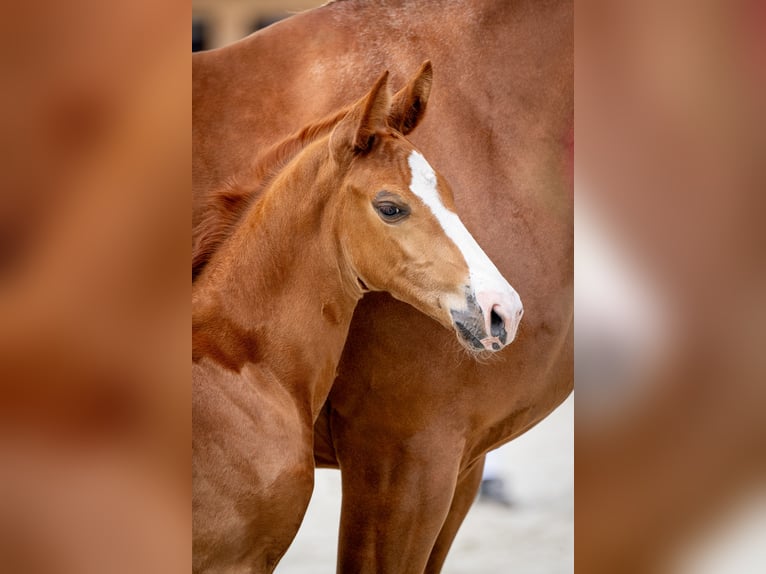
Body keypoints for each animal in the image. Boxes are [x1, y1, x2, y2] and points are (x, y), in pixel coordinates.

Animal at [195, 2, 572, 572]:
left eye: (451, 191)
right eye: (390, 207)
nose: (502, 309)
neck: (237, 359)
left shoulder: (464, 463)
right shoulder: (402, 454)